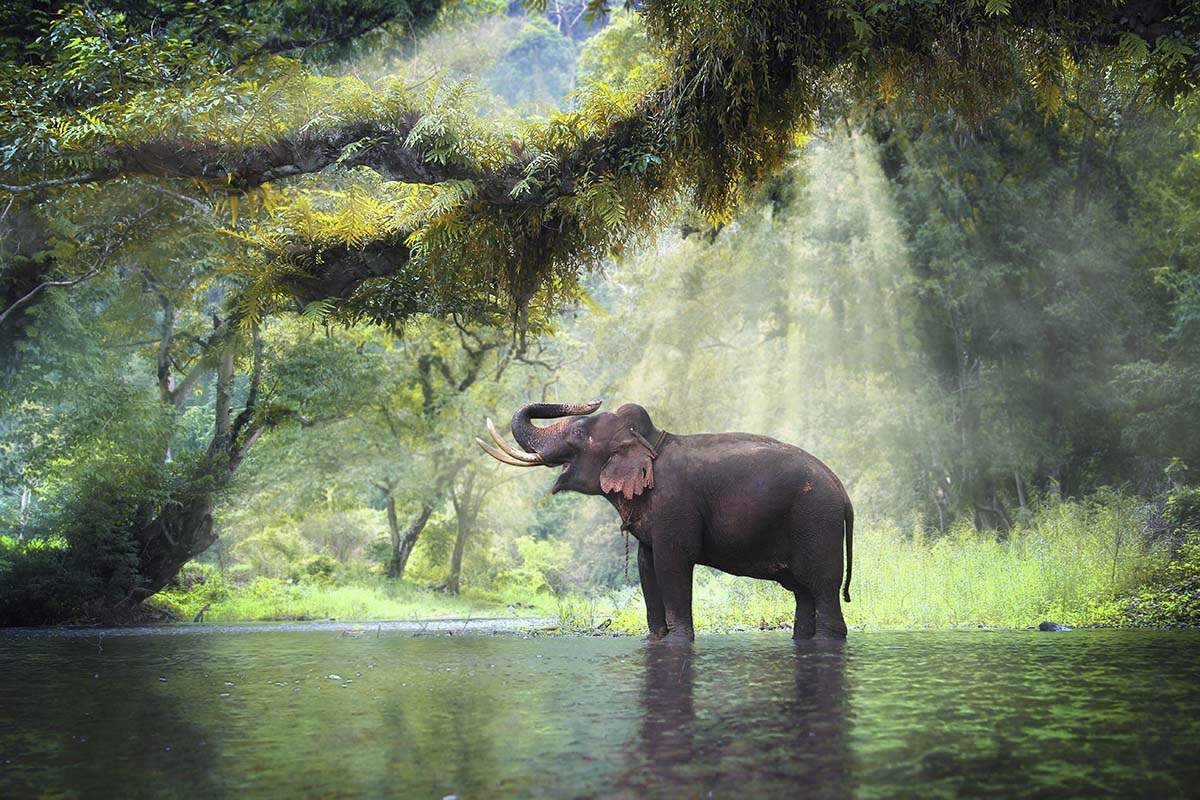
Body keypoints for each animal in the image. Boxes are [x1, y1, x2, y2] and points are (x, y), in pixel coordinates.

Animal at [477, 400, 854, 642]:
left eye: (581, 432)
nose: (592, 400)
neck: (651, 440)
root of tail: (843, 493)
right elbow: (647, 566)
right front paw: (656, 639)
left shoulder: (675, 504)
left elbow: (673, 561)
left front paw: (678, 641)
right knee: (803, 593)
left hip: (817, 521)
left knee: (822, 587)